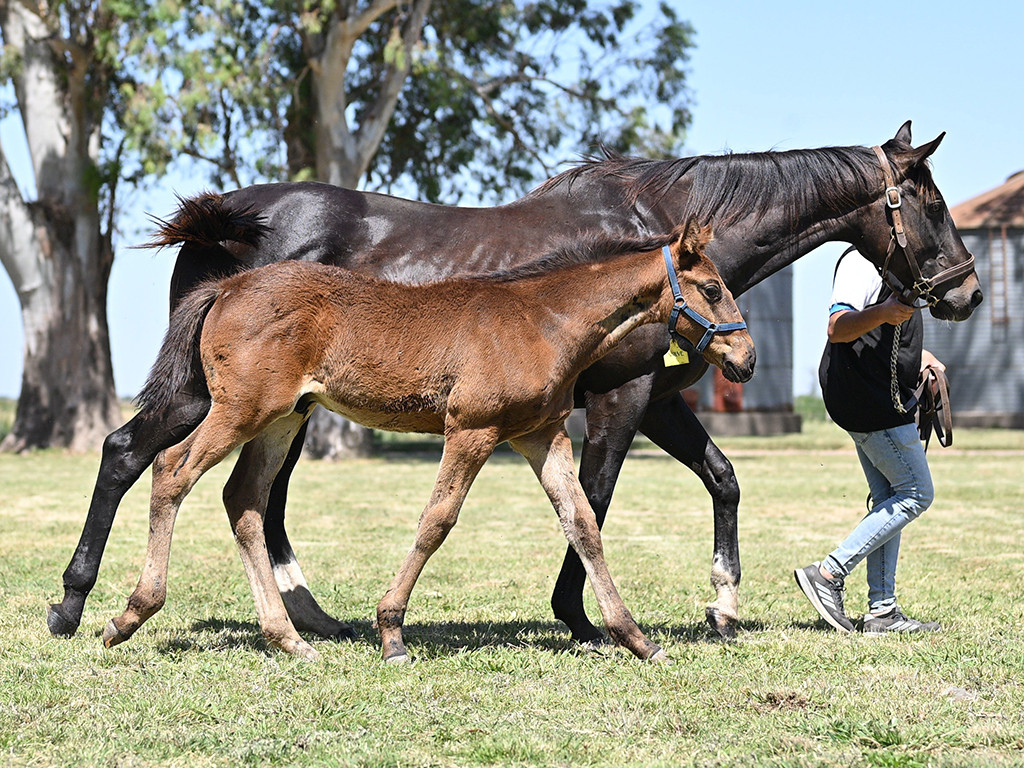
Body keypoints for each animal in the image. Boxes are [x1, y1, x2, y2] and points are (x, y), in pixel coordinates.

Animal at [100, 221, 755, 662]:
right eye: (712, 288)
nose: (746, 358)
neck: (543, 320)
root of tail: (229, 286)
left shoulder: (539, 435)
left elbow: (582, 523)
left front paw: (636, 639)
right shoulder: (471, 428)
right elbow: (437, 520)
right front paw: (391, 632)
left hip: (281, 419)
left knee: (243, 501)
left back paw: (288, 639)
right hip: (240, 409)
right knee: (172, 469)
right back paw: (129, 615)